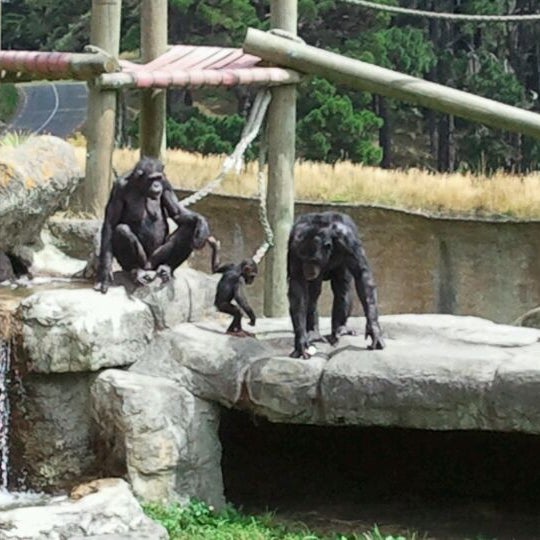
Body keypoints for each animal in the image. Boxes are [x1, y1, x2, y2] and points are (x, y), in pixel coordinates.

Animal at [95, 156, 213, 294]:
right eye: (152, 179)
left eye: (158, 178)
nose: (156, 185)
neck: (140, 186)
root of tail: (149, 267)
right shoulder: (118, 188)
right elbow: (111, 223)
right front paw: (105, 273)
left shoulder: (166, 183)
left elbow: (177, 212)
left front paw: (202, 225)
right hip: (143, 261)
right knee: (121, 230)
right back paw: (136, 271)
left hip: (158, 258)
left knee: (189, 228)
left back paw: (167, 267)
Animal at [286, 211, 384, 358]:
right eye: (303, 259)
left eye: (313, 260)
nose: (308, 268)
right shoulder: (294, 247)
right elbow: (297, 286)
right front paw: (301, 341)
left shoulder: (348, 241)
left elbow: (362, 274)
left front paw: (374, 329)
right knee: (314, 293)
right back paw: (313, 333)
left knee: (343, 288)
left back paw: (340, 329)